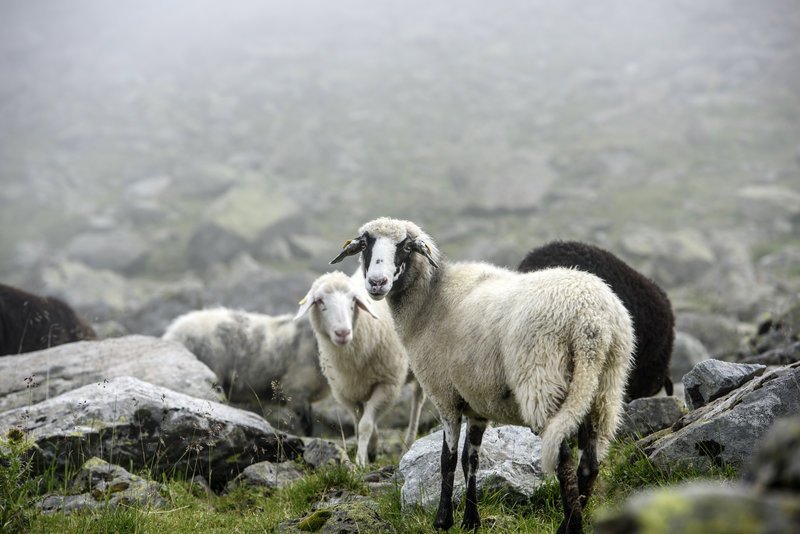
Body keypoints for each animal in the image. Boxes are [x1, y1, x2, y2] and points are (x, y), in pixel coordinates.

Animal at [295, 270, 424, 467]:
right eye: (320, 301)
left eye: (353, 300)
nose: (343, 332)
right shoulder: (345, 392)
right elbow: (359, 423)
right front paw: (372, 448)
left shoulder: (387, 384)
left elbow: (365, 425)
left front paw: (361, 462)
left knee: (418, 399)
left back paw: (408, 444)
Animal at [330, 217, 634, 533]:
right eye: (365, 245)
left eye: (405, 247)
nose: (376, 283)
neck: (430, 299)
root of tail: (591, 322)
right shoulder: (477, 402)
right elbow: (470, 459)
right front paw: (470, 521)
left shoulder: (445, 396)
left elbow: (448, 459)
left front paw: (443, 520)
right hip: (605, 386)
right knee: (590, 463)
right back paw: (569, 522)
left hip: (542, 379)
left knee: (563, 459)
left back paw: (570, 526)